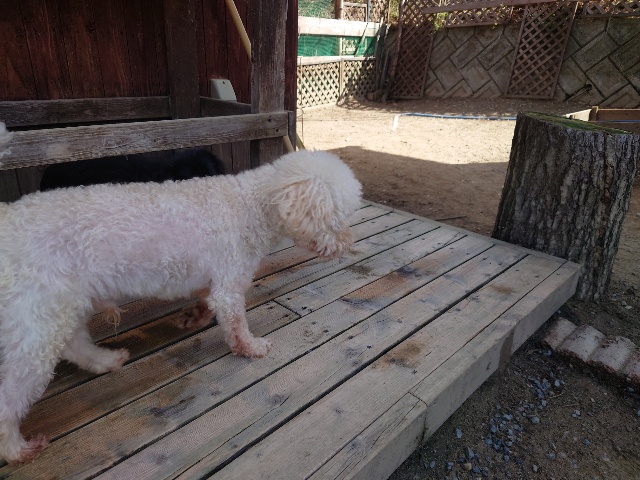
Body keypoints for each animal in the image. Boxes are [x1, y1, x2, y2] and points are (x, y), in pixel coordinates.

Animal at [0, 123, 362, 464]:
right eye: (338, 220)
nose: (348, 244)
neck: (253, 204)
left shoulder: (211, 280)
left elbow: (205, 302)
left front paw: (192, 318)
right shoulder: (229, 283)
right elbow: (236, 325)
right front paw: (252, 348)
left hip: (62, 304)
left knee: (74, 344)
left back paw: (106, 360)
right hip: (38, 319)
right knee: (13, 393)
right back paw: (17, 449)